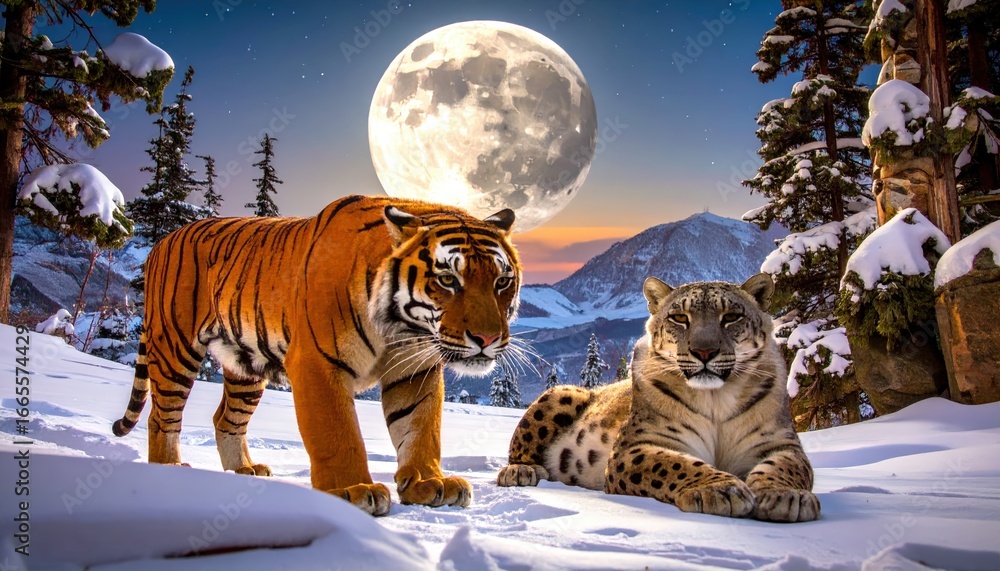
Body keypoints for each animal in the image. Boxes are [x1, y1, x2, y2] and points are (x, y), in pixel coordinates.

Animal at [112, 194, 523, 516]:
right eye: (448, 280)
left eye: (502, 281)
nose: (488, 338)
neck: (402, 328)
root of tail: (163, 240)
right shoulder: (318, 363)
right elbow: (337, 433)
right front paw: (354, 490)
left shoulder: (414, 371)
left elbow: (420, 428)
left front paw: (429, 482)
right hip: (175, 347)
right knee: (162, 416)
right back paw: (169, 469)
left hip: (245, 367)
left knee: (225, 419)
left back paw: (244, 471)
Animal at [497, 274, 820, 523]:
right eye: (679, 317)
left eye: (731, 317)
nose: (704, 351)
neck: (716, 399)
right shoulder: (638, 445)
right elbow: (672, 464)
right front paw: (721, 489)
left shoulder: (778, 442)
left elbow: (788, 466)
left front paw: (785, 496)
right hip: (563, 394)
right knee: (518, 448)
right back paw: (522, 471)